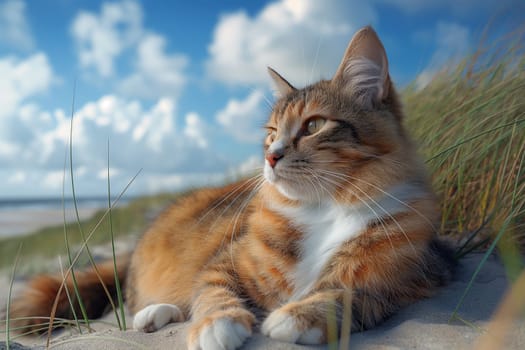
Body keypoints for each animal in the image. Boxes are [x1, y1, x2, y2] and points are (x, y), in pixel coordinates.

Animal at [9, 27, 454, 350]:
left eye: (313, 125)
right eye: (271, 132)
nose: (271, 156)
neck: (325, 206)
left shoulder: (408, 278)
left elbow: (347, 293)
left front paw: (300, 315)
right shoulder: (225, 261)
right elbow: (212, 291)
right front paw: (216, 325)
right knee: (152, 297)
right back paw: (152, 314)